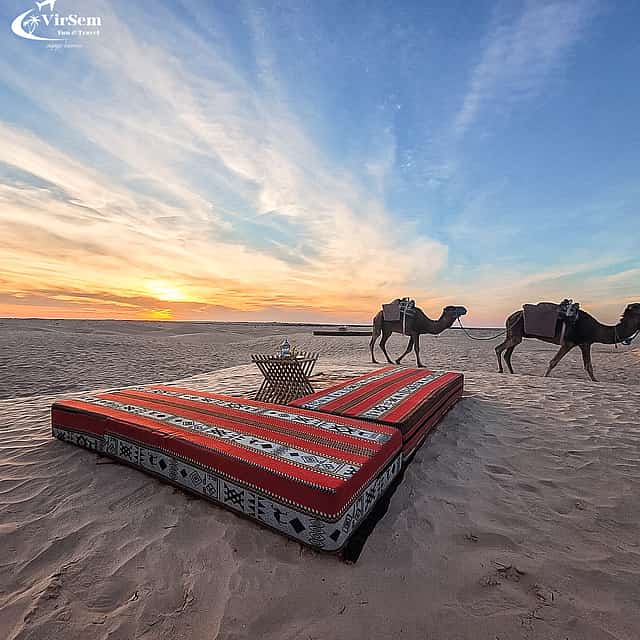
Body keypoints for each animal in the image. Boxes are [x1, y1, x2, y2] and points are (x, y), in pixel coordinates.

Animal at [495, 302, 640, 382]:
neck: (595, 329)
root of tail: (509, 317)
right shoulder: (569, 343)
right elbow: (553, 362)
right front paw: (545, 377)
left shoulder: (585, 343)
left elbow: (588, 366)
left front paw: (596, 381)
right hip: (515, 333)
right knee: (499, 349)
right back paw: (501, 370)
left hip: (514, 334)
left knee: (507, 353)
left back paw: (512, 372)